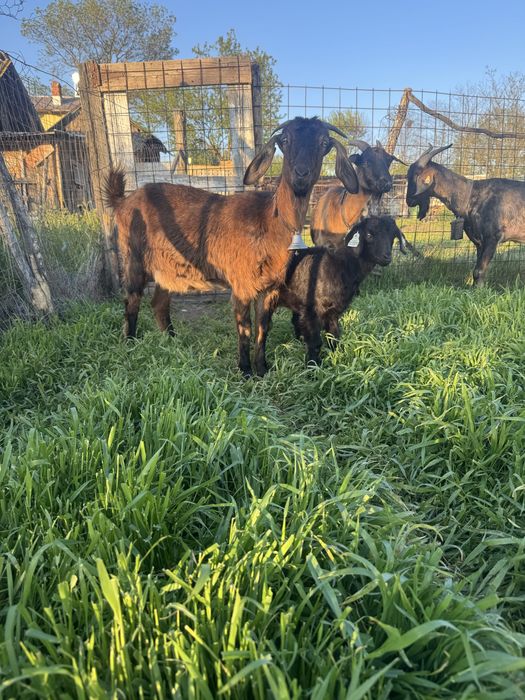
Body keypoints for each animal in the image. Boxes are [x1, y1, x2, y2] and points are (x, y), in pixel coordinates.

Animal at [104, 117, 359, 376]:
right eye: (285, 140)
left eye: (324, 142)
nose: (301, 174)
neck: (270, 221)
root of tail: (123, 201)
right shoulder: (241, 284)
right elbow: (244, 327)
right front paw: (245, 370)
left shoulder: (271, 288)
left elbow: (263, 328)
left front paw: (262, 368)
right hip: (133, 258)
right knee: (132, 301)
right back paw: (131, 343)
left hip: (168, 268)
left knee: (159, 304)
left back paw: (172, 341)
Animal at [253, 216, 408, 368]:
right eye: (369, 235)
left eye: (393, 236)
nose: (387, 257)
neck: (341, 264)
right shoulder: (312, 310)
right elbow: (315, 342)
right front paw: (313, 367)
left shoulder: (333, 311)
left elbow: (334, 336)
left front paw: (337, 359)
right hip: (265, 298)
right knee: (262, 331)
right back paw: (262, 368)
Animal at [406, 143, 525, 286]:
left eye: (417, 175)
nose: (409, 201)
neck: (471, 194)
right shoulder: (479, 242)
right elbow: (476, 271)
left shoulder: (492, 238)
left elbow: (479, 270)